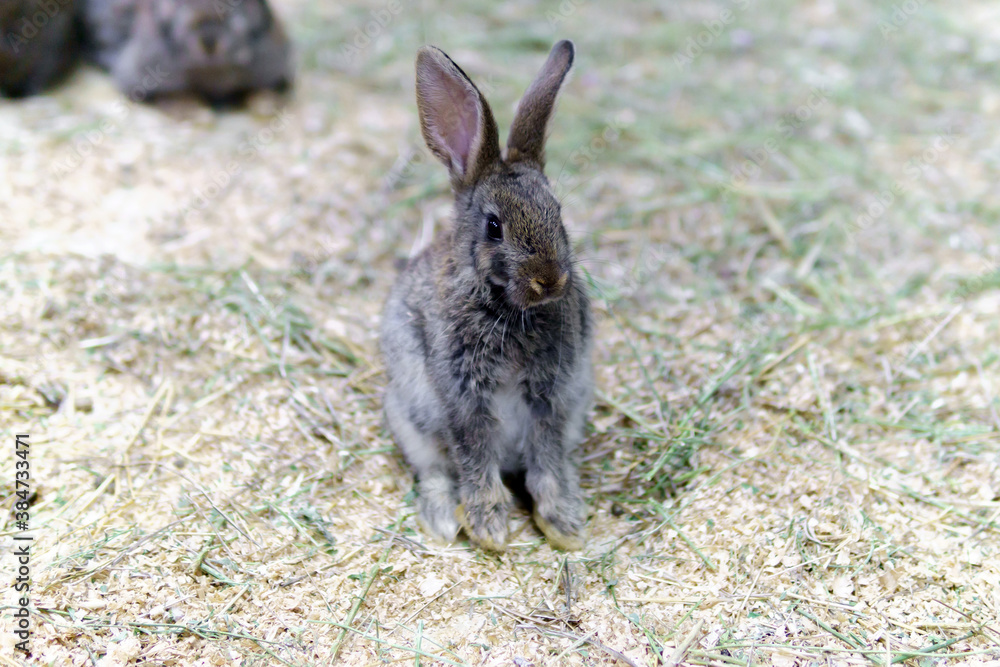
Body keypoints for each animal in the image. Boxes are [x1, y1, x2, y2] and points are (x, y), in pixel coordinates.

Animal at [380, 40, 593, 552]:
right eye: (494, 227)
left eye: (557, 212)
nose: (549, 280)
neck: (509, 308)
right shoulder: (462, 393)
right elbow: (473, 453)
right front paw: (490, 527)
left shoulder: (551, 393)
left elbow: (547, 456)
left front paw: (562, 524)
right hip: (408, 418)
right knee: (435, 472)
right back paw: (442, 521)